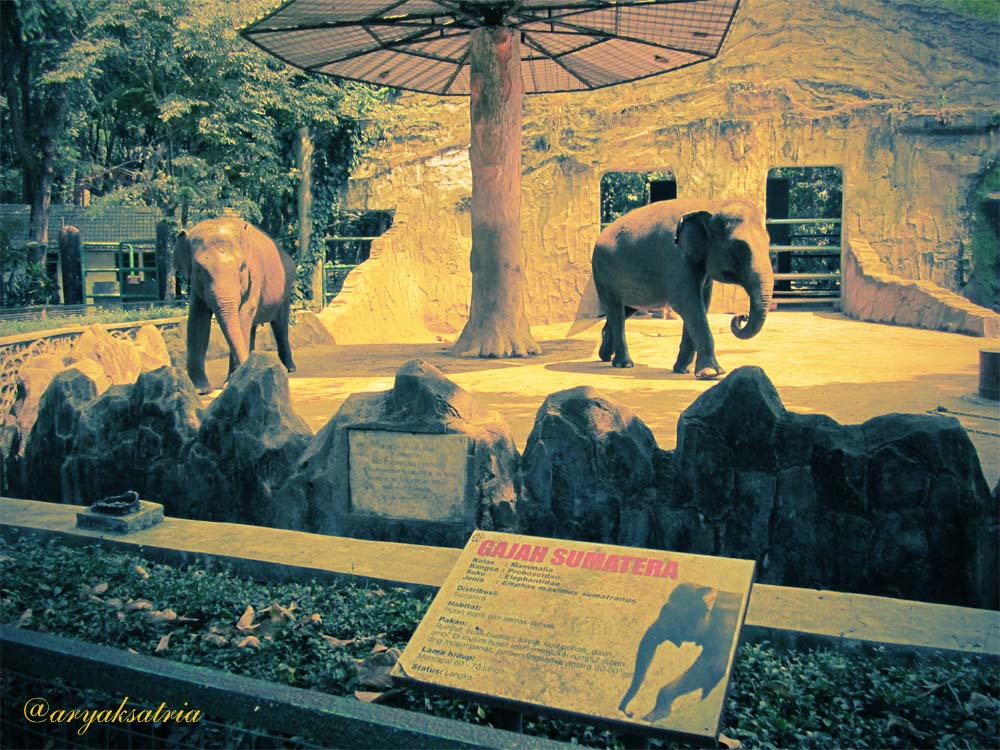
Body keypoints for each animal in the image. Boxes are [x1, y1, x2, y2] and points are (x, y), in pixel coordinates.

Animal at [174, 217, 296, 395]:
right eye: (198, 269)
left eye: (242, 267)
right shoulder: (196, 288)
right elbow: (197, 322)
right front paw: (200, 390)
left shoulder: (255, 277)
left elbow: (242, 316)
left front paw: (231, 382)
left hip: (285, 293)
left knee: (280, 326)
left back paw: (289, 368)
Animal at [592, 198, 774, 379]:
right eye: (739, 247)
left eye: (768, 243)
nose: (741, 316)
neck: (711, 205)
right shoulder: (675, 255)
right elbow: (686, 302)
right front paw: (711, 373)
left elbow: (701, 303)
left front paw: (683, 370)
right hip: (602, 273)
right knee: (615, 309)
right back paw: (624, 364)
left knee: (625, 309)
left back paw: (605, 356)